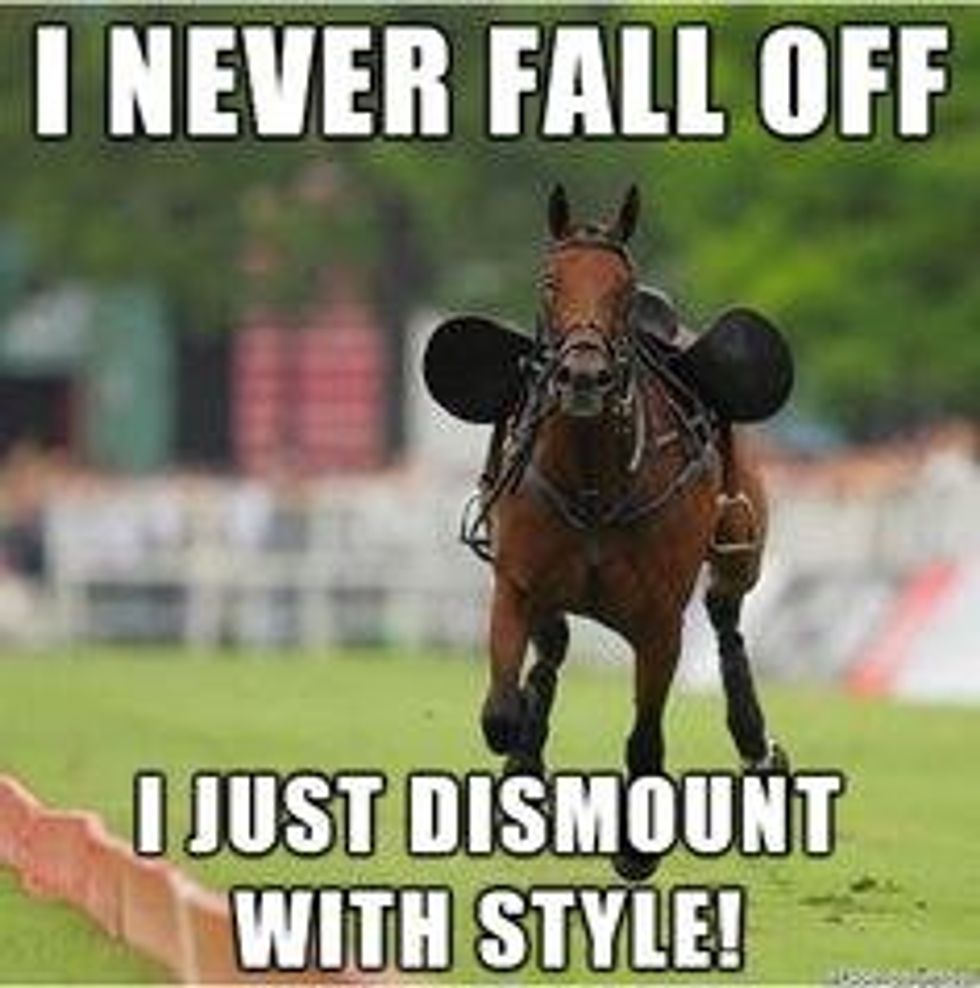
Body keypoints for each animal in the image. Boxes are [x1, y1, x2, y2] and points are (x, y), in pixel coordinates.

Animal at [473, 185, 789, 881]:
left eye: (623, 288)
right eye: (549, 282)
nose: (583, 377)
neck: (596, 484)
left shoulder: (659, 620)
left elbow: (645, 737)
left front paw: (636, 850)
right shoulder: (516, 583)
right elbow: (502, 713)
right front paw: (523, 766)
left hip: (739, 546)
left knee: (726, 619)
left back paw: (758, 749)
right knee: (552, 649)